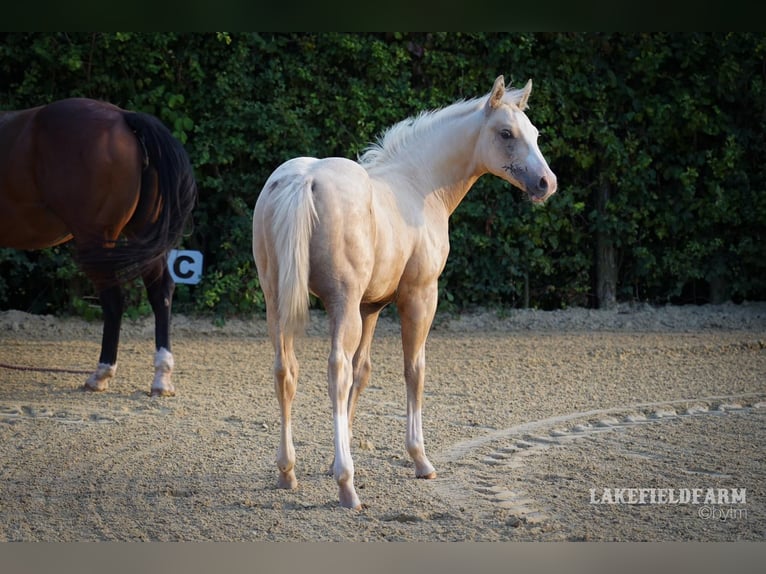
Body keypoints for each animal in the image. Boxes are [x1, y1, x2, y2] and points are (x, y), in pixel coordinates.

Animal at [0, 97, 197, 396]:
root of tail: (124, 117)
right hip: (142, 234)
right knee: (160, 292)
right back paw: (161, 378)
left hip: (95, 239)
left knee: (114, 300)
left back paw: (101, 374)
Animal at [252, 75, 557, 509]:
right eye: (505, 133)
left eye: (535, 133)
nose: (547, 183)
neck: (419, 183)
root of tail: (303, 179)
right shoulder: (419, 296)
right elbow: (414, 369)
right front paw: (419, 459)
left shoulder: (371, 307)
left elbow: (363, 372)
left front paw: (332, 460)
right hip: (340, 302)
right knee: (335, 370)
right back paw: (347, 486)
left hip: (277, 300)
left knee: (286, 370)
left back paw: (287, 471)